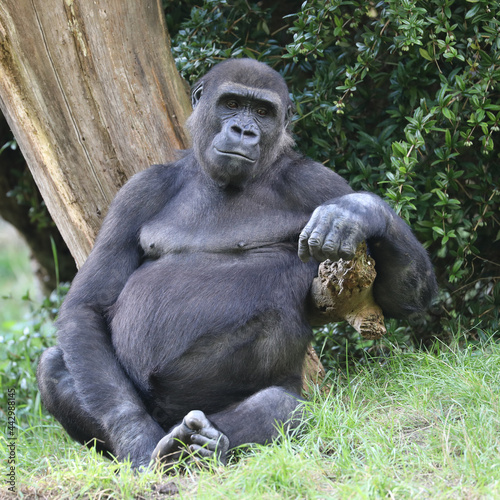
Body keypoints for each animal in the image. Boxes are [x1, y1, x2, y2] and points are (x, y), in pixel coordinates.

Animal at [37, 58, 436, 468]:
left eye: (262, 112)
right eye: (231, 103)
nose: (243, 130)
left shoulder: (316, 181)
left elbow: (401, 299)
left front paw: (361, 210)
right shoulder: (138, 190)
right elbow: (87, 305)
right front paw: (135, 437)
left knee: (283, 405)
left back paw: (206, 444)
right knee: (54, 364)